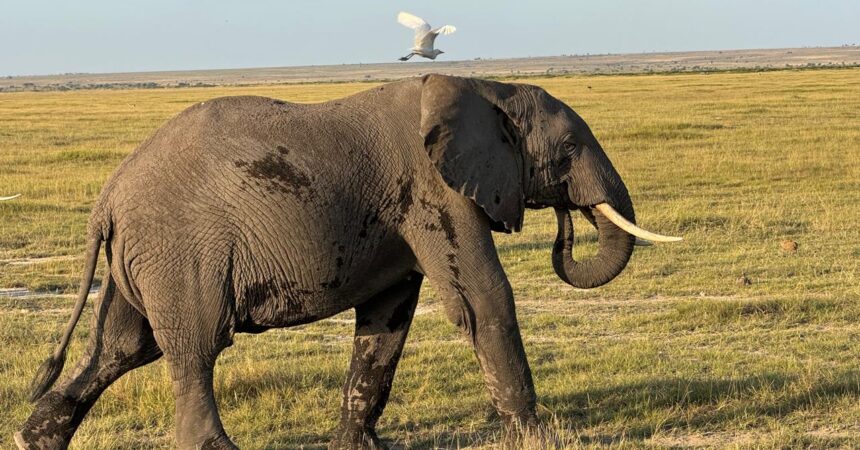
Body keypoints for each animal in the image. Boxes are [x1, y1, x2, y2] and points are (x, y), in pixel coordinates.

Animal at [16, 74, 680, 449]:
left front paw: (359, 447)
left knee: (123, 347)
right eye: (567, 149)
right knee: (195, 346)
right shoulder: (434, 192)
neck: (487, 87)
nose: (567, 226)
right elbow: (484, 298)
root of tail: (106, 200)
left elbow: (387, 322)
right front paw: (543, 437)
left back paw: (34, 440)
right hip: (180, 250)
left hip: (144, 259)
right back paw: (213, 448)